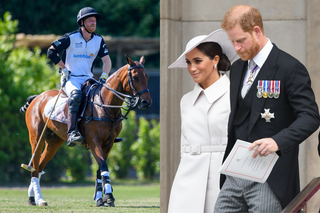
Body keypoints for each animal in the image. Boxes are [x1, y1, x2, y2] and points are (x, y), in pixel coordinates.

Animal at [20, 55, 152, 206]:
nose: (146, 102)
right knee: (34, 166)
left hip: (54, 142)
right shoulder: (94, 141)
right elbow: (103, 166)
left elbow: (100, 170)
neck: (105, 107)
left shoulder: (108, 143)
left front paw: (100, 198)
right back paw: (39, 199)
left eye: (147, 76)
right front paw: (108, 197)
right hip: (36, 138)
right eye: (135, 77)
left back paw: (32, 198)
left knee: (39, 166)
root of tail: (36, 97)